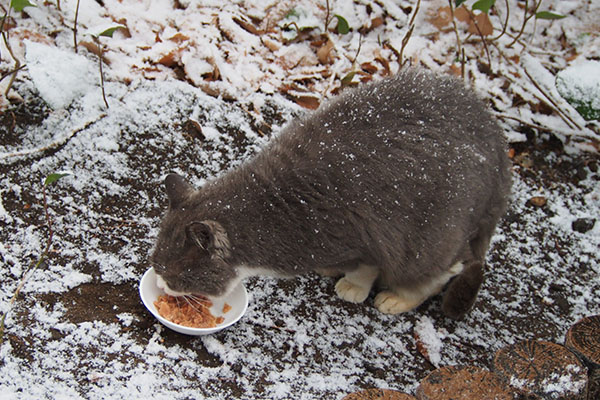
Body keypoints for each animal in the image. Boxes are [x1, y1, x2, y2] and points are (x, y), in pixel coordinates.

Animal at [150, 68, 510, 318]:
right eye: (157, 264)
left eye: (177, 275)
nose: (161, 285)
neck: (281, 203)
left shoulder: (371, 230)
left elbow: (367, 265)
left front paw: (354, 285)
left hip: (434, 237)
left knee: (446, 269)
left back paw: (398, 296)